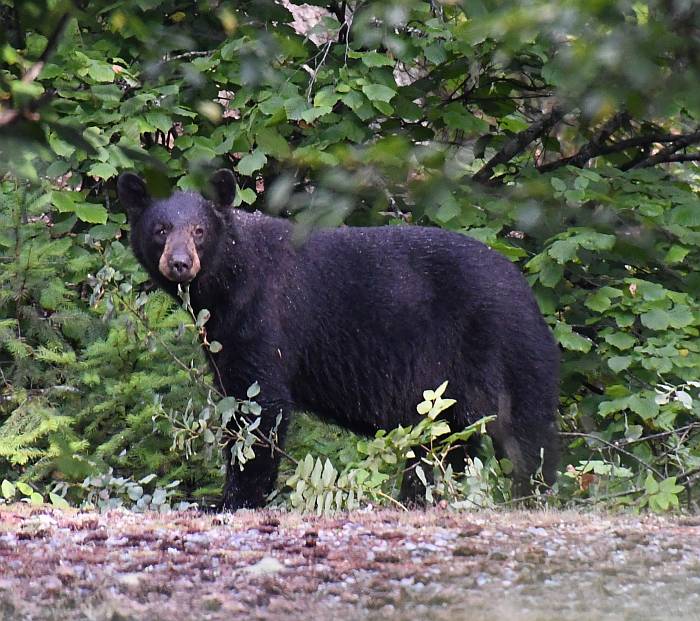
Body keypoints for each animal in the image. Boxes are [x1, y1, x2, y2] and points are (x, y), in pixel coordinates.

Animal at [119, 168, 556, 508]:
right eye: (160, 230)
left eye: (199, 230)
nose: (180, 263)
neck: (230, 278)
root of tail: (526, 290)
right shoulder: (222, 335)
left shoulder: (262, 315)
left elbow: (261, 406)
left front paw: (233, 499)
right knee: (445, 441)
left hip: (504, 349)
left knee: (527, 436)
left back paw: (531, 495)